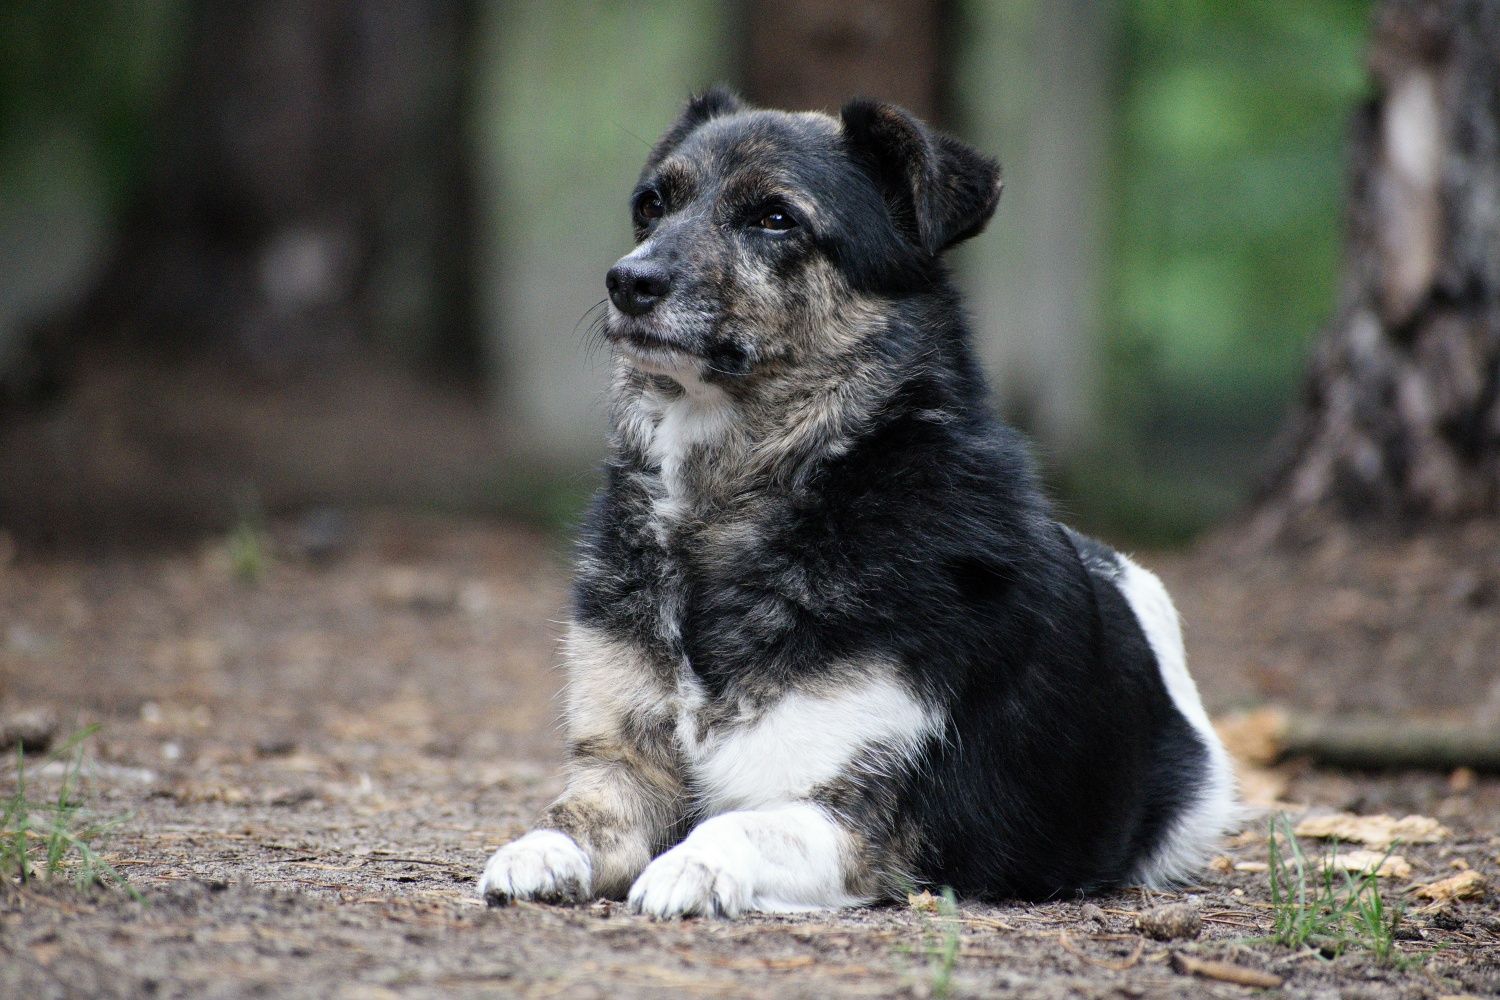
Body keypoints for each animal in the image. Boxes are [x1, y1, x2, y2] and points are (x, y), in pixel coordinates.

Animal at [474, 89, 1236, 917]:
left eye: (776, 219)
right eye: (651, 206)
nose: (627, 282)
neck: (741, 496)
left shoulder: (858, 821)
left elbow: (732, 824)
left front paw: (690, 868)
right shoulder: (622, 765)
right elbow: (571, 816)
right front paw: (536, 853)